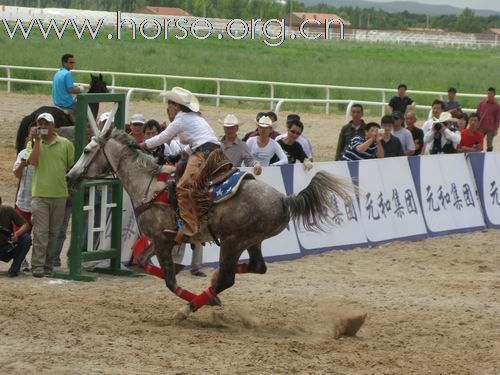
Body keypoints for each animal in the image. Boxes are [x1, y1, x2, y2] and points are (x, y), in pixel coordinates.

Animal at [66, 122, 354, 322]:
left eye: (87, 150)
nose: (70, 176)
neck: (150, 185)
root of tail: (285, 199)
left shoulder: (161, 240)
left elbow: (170, 281)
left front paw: (193, 303)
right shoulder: (163, 239)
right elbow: (143, 263)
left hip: (232, 241)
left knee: (228, 277)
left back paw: (192, 305)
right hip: (252, 241)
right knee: (256, 267)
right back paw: (212, 287)